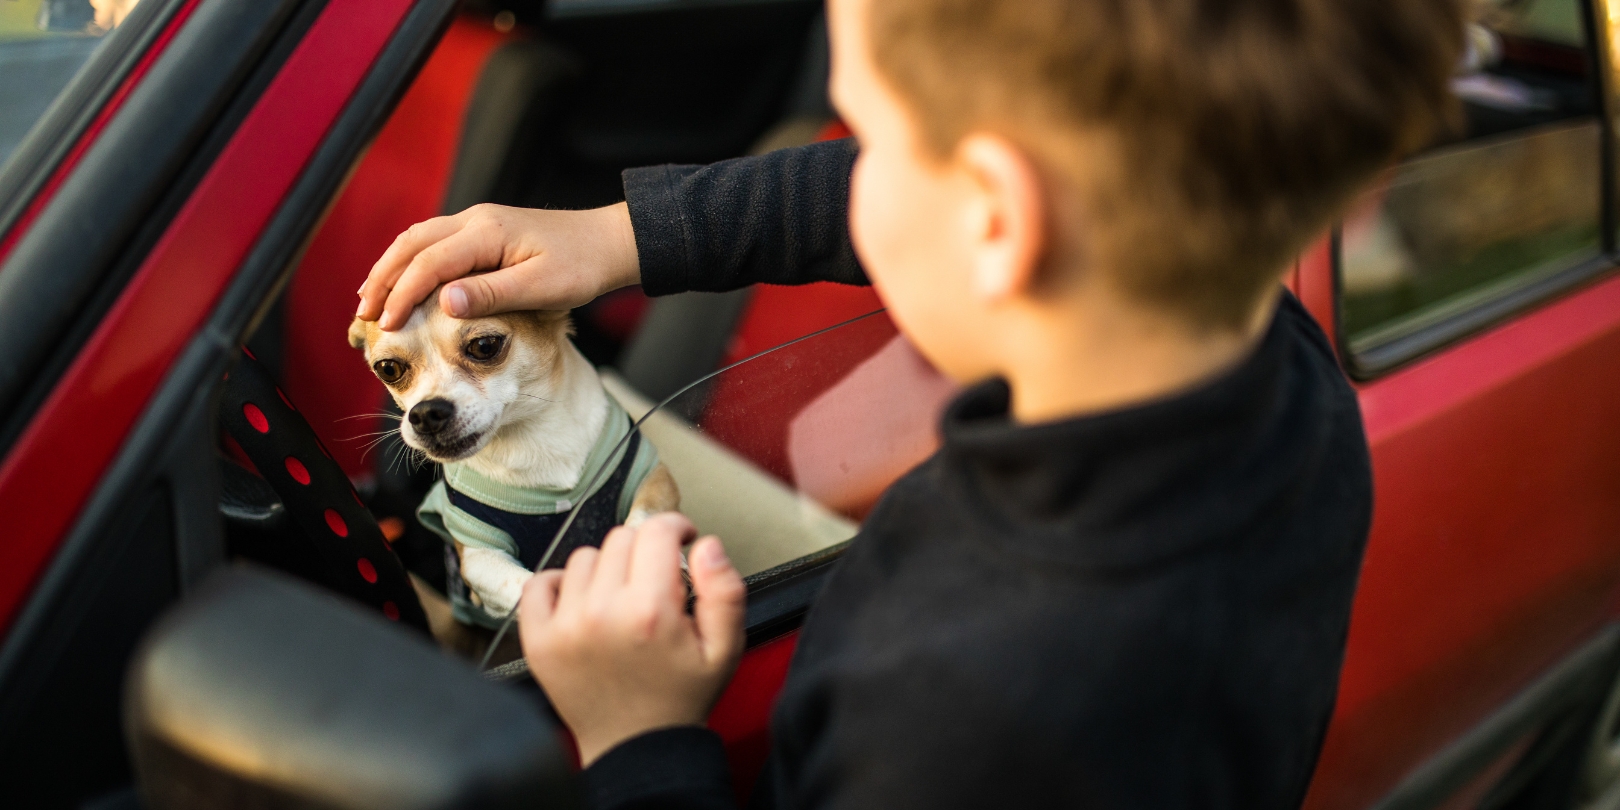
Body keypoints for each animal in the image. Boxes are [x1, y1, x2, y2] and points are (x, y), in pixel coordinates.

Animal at [351, 298, 680, 625]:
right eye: (388, 368)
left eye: (484, 346)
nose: (425, 413)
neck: (532, 438)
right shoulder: (478, 555)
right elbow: (525, 585)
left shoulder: (653, 479)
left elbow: (642, 522)